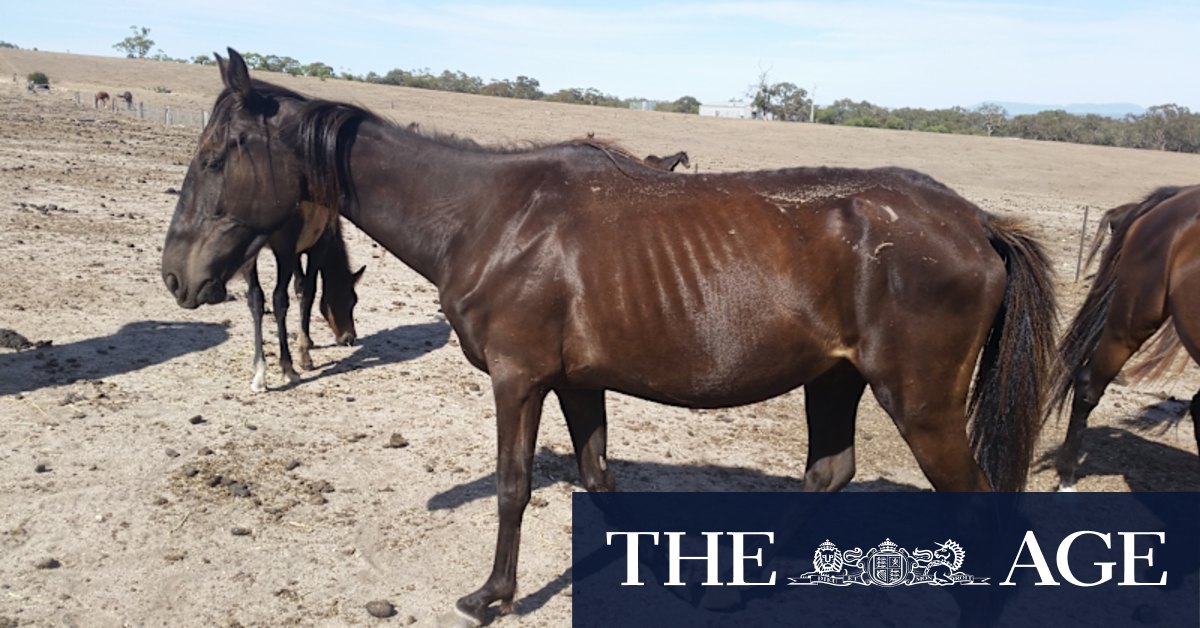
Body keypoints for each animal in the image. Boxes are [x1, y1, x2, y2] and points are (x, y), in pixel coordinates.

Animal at [245, 205, 363, 392]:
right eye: (350, 300)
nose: (349, 338)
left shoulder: (297, 252)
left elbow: (299, 287)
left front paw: (307, 340)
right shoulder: (318, 247)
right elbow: (308, 292)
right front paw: (305, 355)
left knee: (255, 298)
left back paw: (259, 374)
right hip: (283, 251)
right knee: (279, 299)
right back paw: (288, 369)